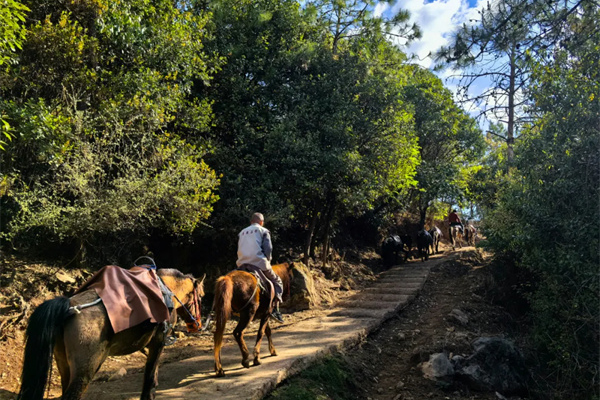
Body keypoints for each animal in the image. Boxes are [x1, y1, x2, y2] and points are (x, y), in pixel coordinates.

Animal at [17, 266, 205, 400]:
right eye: (201, 297)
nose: (196, 325)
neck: (166, 290)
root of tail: (68, 307)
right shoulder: (158, 342)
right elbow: (150, 377)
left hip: (64, 364)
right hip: (85, 369)